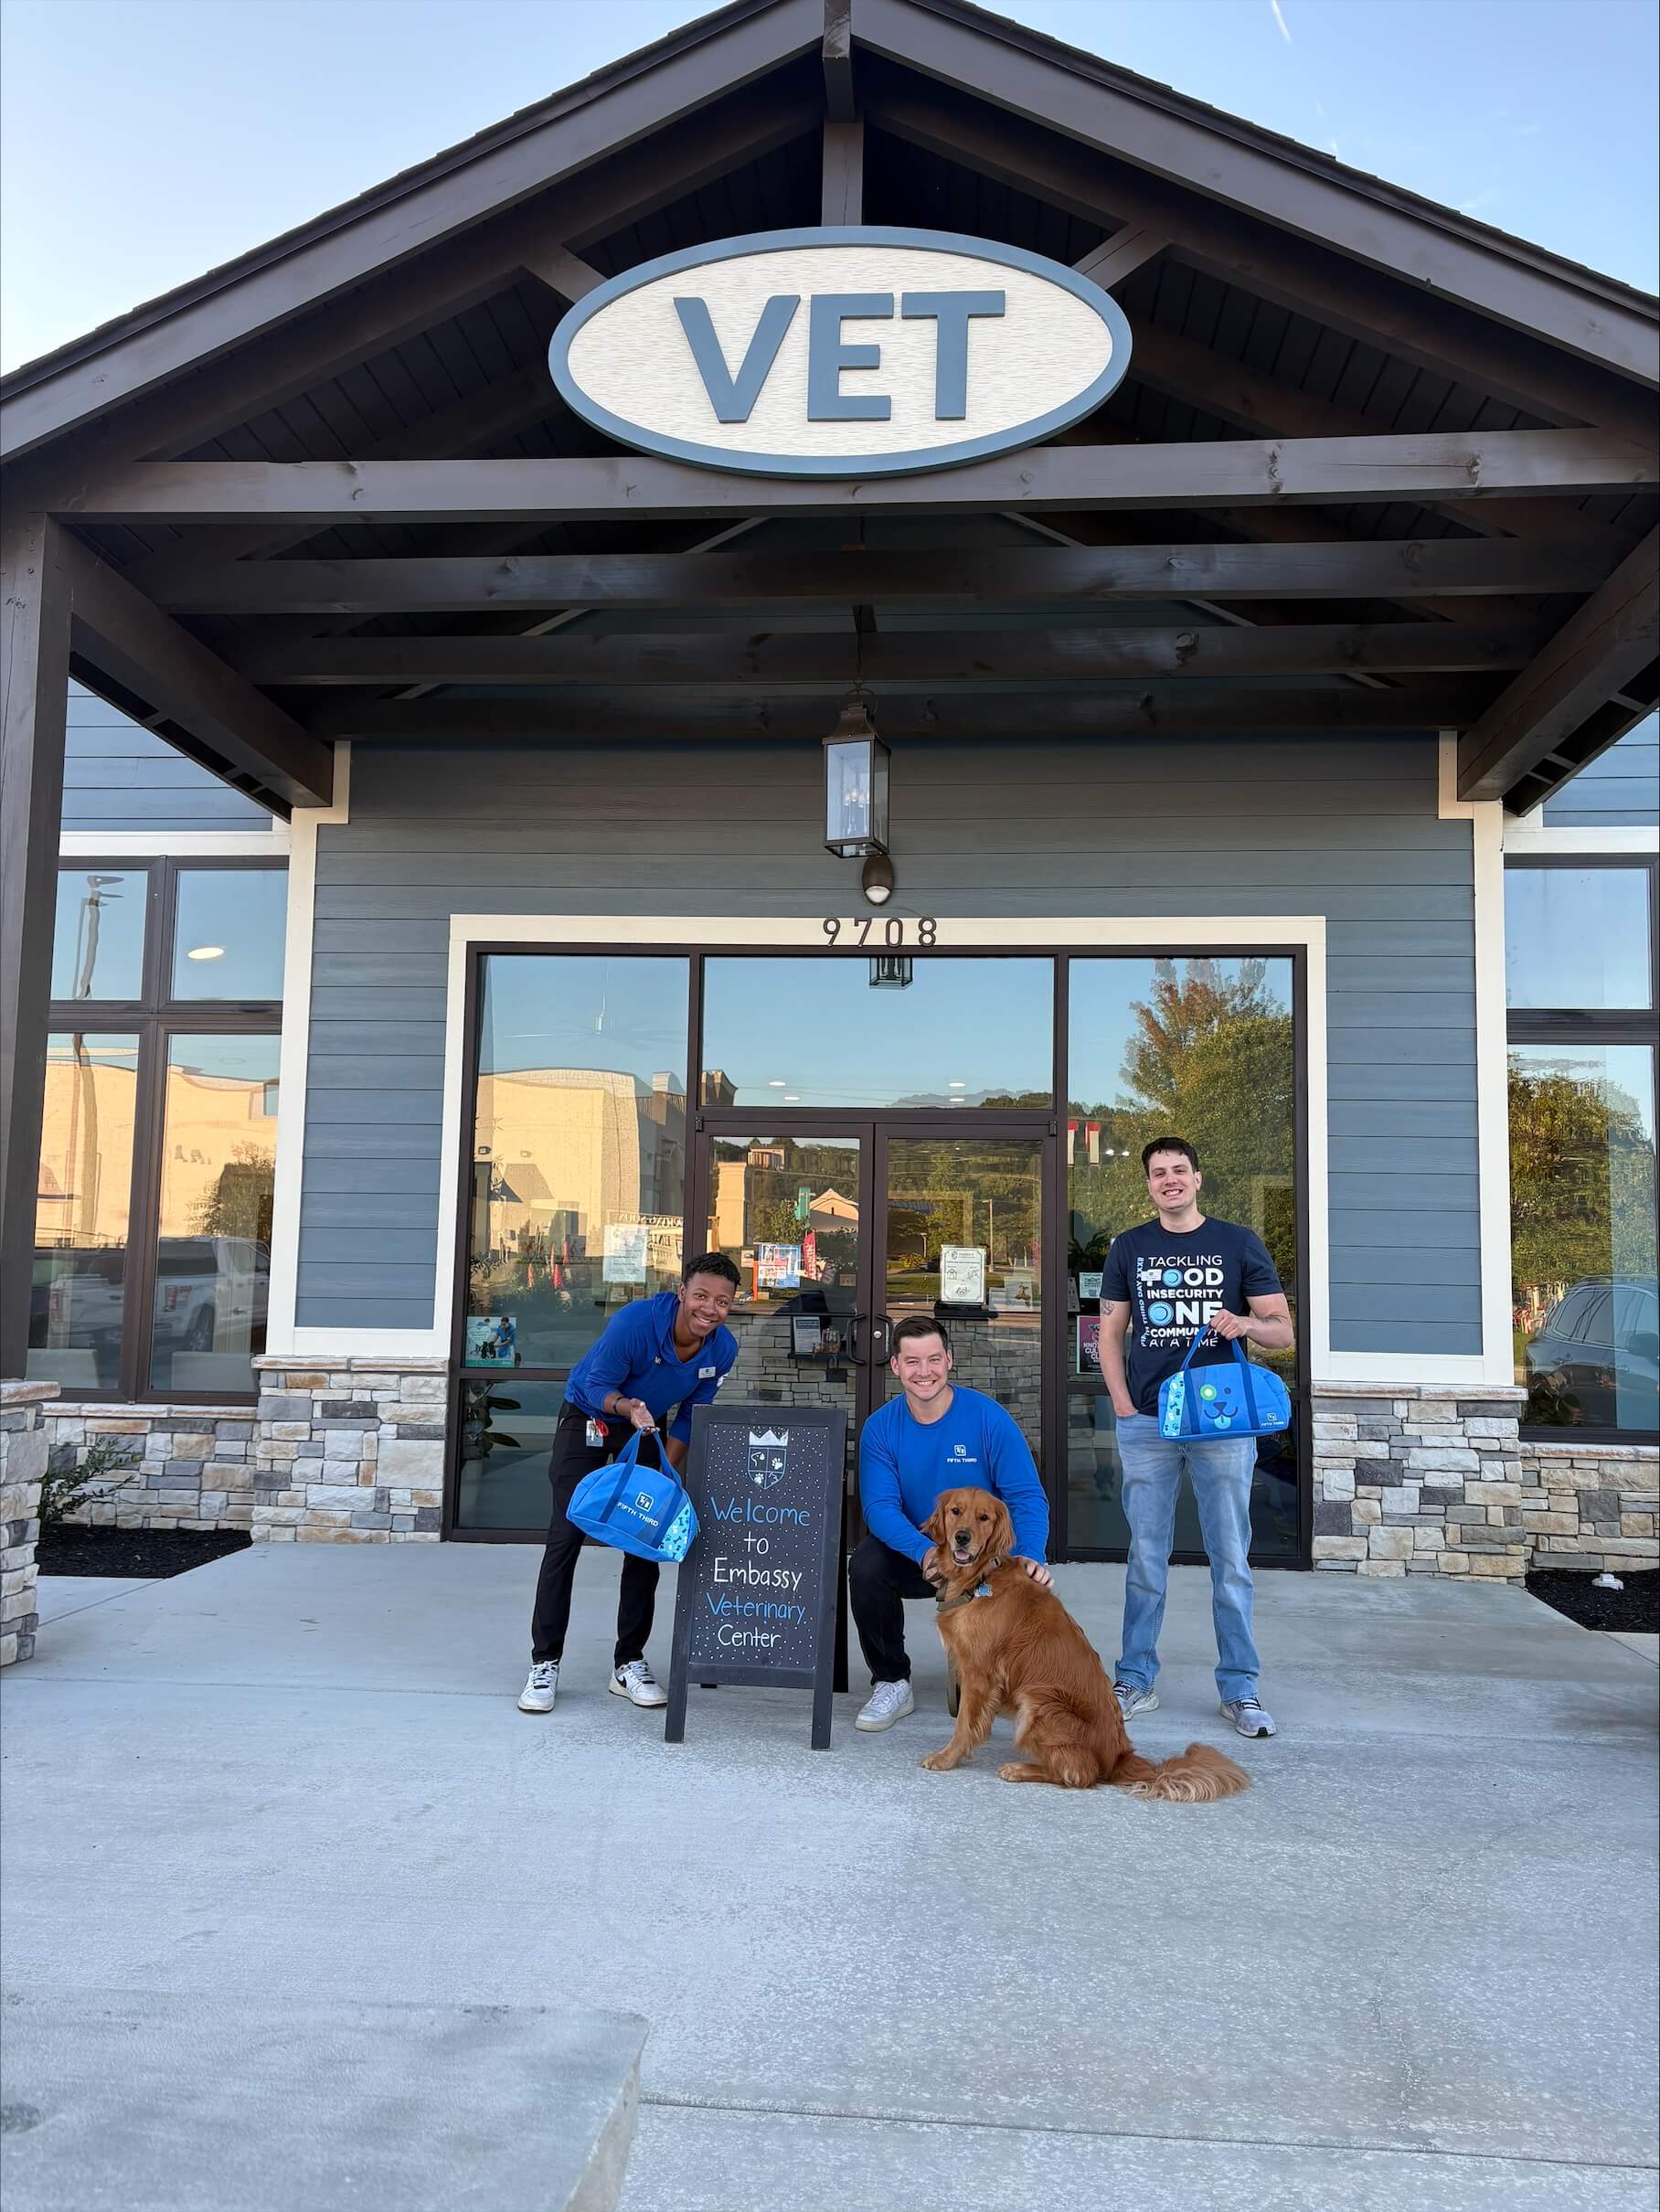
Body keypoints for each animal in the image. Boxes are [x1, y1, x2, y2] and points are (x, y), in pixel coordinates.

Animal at [918, 1487, 1250, 1803]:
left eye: (984, 1517)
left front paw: (946, 1758)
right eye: (955, 1511)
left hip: (1038, 1700)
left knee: (1079, 1774)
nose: (962, 1538)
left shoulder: (980, 1674)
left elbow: (964, 1724)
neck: (981, 1577)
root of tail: (1118, 1756)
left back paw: (1021, 1769)